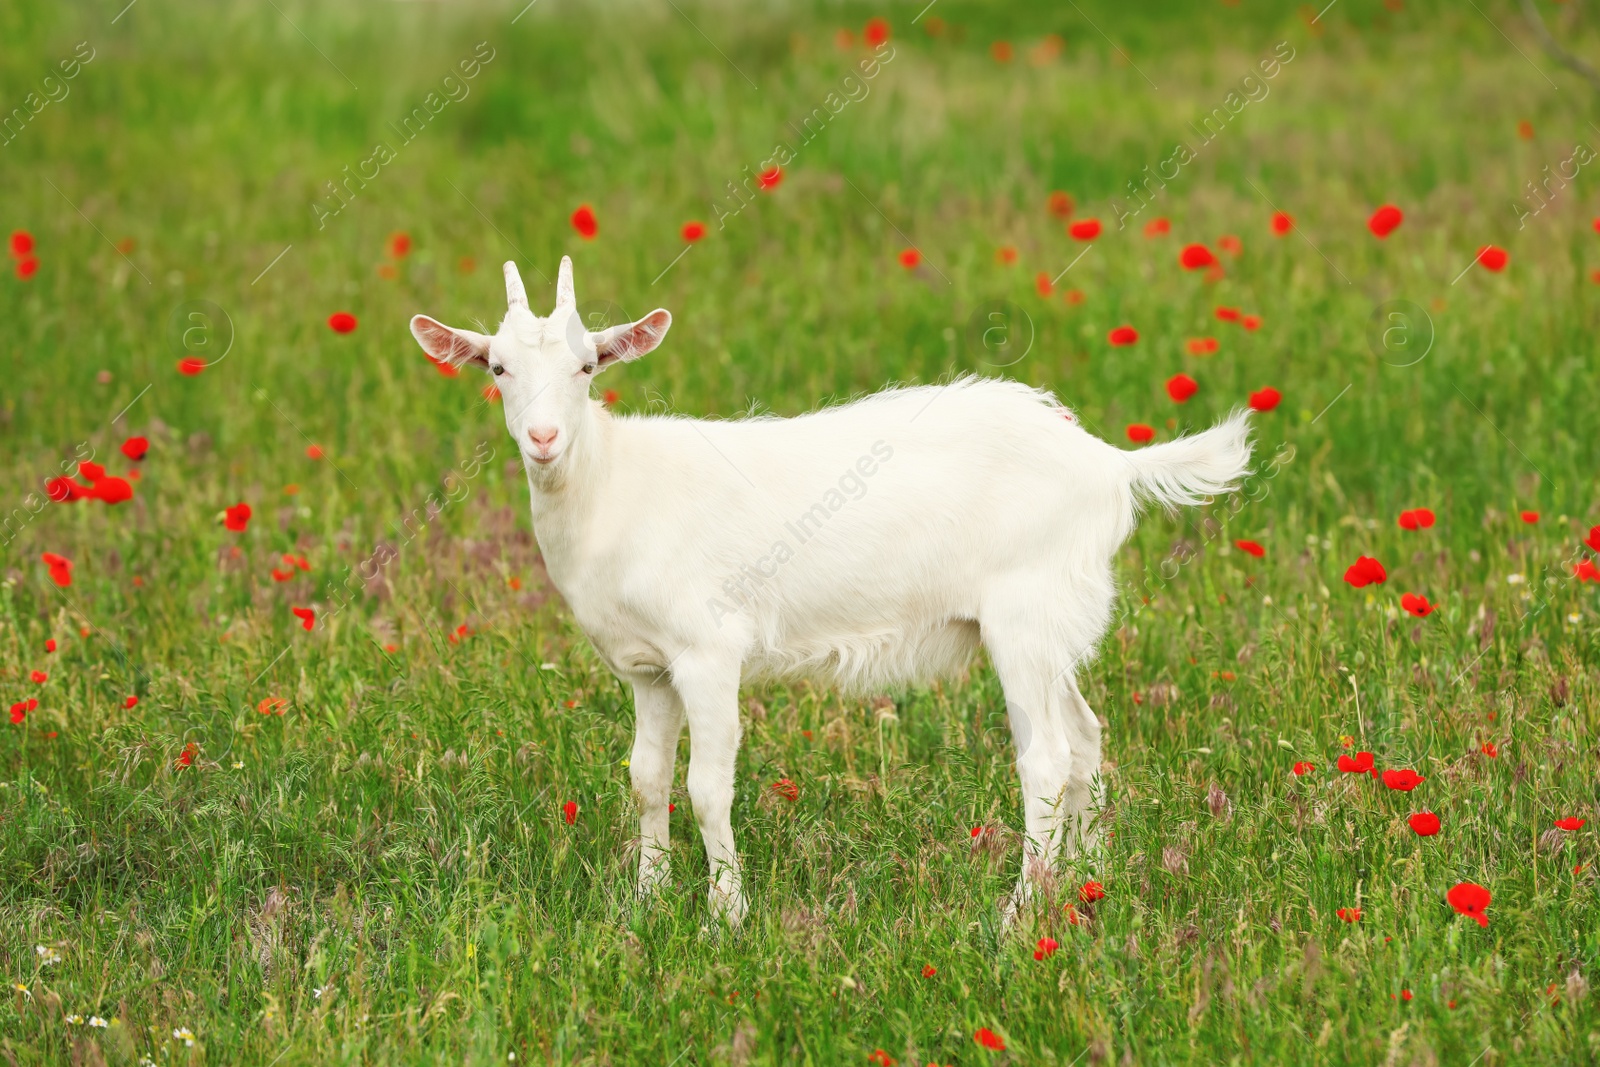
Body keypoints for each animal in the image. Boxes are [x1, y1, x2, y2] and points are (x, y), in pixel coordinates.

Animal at [409, 260, 1248, 927]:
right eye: (496, 368)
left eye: (588, 366)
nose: (544, 439)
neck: (613, 484)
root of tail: (1109, 464)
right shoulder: (648, 667)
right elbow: (647, 779)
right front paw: (645, 903)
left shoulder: (709, 649)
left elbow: (706, 786)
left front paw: (725, 916)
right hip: (1050, 625)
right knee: (1084, 738)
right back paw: (1083, 880)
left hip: (1023, 616)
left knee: (1043, 759)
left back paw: (1016, 918)